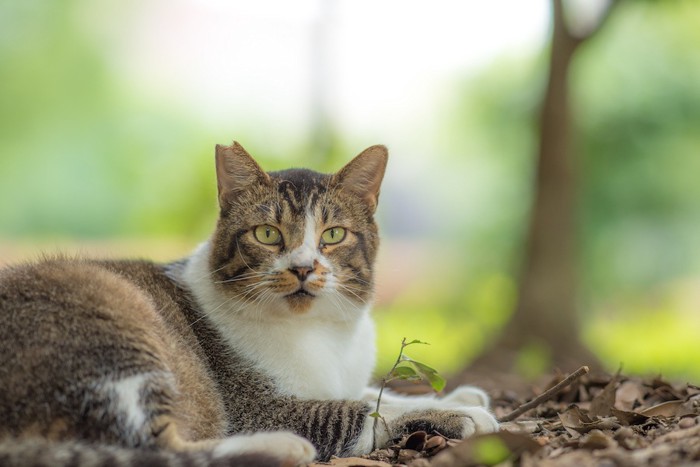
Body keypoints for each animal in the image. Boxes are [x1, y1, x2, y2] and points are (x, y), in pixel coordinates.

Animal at [1, 144, 504, 466]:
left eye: (333, 234)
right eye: (267, 234)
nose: (302, 267)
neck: (320, 331)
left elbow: (371, 392)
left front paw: (458, 395)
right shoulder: (255, 407)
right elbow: (357, 411)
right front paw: (463, 415)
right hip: (112, 313)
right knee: (154, 450)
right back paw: (280, 448)